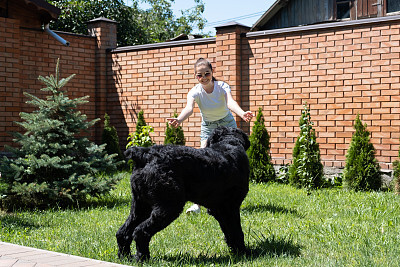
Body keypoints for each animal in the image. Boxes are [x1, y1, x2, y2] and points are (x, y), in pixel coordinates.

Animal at [115, 126, 250, 262]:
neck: (229, 142)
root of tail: (145, 154)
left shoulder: (218, 209)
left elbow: (228, 231)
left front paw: (234, 250)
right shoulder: (231, 207)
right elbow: (236, 230)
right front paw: (243, 252)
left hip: (140, 206)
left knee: (123, 232)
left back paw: (125, 256)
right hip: (169, 206)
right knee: (140, 232)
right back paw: (142, 257)